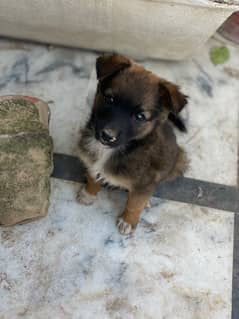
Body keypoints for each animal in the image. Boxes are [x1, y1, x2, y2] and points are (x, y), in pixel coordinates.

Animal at [77, 53, 188, 236]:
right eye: (109, 99)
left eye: (140, 116)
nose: (107, 136)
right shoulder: (92, 160)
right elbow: (93, 177)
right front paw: (88, 194)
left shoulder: (144, 183)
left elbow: (135, 203)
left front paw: (128, 221)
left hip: (177, 163)